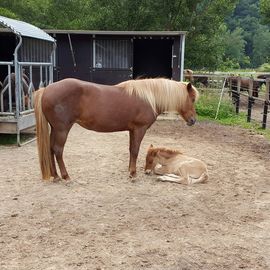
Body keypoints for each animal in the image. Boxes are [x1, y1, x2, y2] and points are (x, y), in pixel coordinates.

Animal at [34, 77, 198, 180]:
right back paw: (65, 176)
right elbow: (135, 150)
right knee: (58, 150)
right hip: (62, 129)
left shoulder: (132, 130)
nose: (193, 120)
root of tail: (46, 89)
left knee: (50, 149)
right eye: (192, 99)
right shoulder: (140, 129)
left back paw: (55, 176)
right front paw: (133, 174)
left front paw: (130, 170)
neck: (149, 98)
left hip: (54, 129)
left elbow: (131, 150)